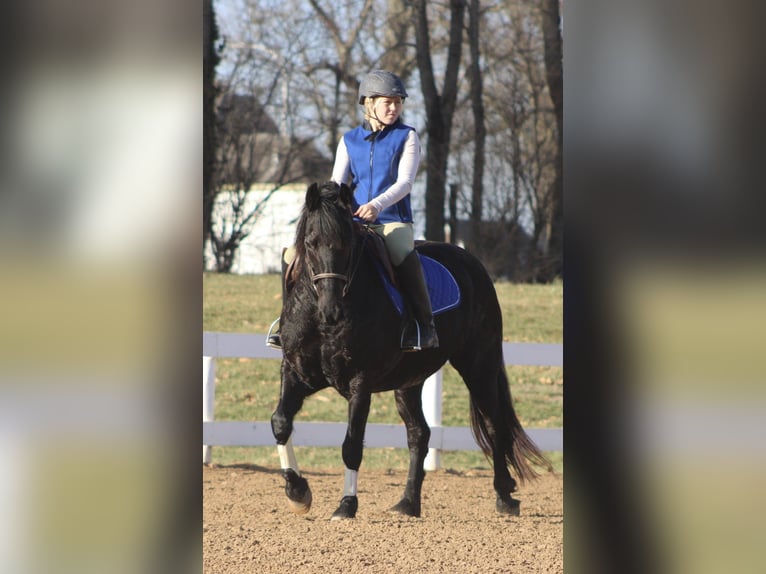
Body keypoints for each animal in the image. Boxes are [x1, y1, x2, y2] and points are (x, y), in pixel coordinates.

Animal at [270, 180, 552, 519]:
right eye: (310, 243)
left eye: (346, 244)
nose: (331, 312)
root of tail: (471, 262)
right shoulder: (297, 372)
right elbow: (280, 422)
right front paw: (297, 492)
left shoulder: (359, 382)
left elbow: (352, 445)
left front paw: (346, 505)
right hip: (410, 380)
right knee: (420, 433)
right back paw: (407, 502)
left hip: (479, 365)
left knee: (494, 425)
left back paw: (504, 497)